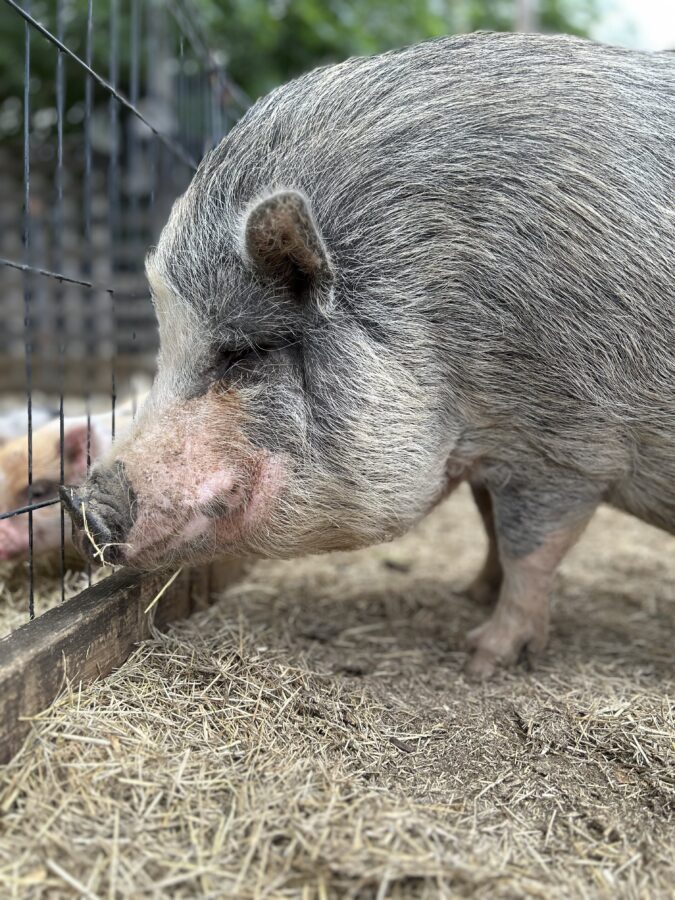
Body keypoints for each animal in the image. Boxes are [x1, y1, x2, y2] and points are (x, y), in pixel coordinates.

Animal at [61, 32, 675, 678]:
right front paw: (468, 595)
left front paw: (480, 659)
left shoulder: (567, 446)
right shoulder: (491, 448)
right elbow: (488, 527)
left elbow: (526, 551)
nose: (78, 503)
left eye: (242, 353)